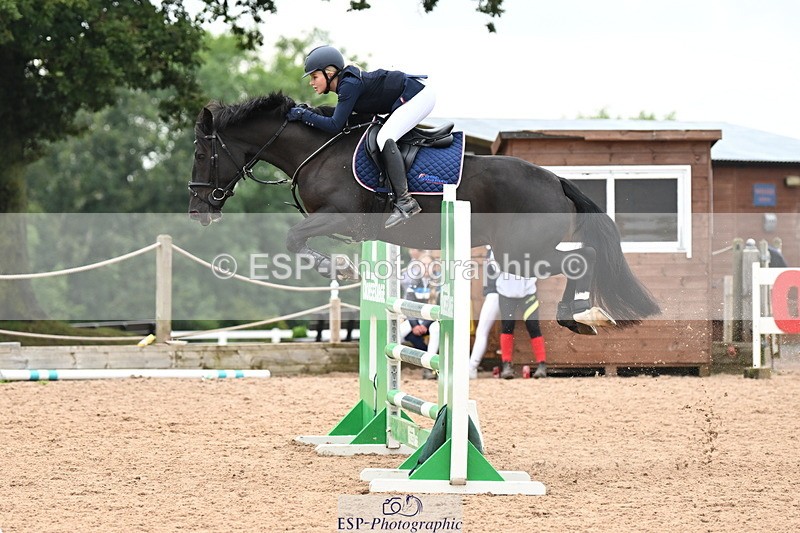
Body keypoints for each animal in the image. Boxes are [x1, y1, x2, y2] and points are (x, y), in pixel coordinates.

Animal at [188, 92, 660, 334]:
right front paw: (341, 268)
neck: (319, 150)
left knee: (584, 258)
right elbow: (297, 240)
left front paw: (338, 268)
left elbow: (294, 238)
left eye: (200, 153)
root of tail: (557, 180)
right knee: (584, 257)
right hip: (521, 253)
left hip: (521, 254)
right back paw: (582, 315)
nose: (197, 211)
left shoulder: (342, 216)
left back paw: (578, 315)